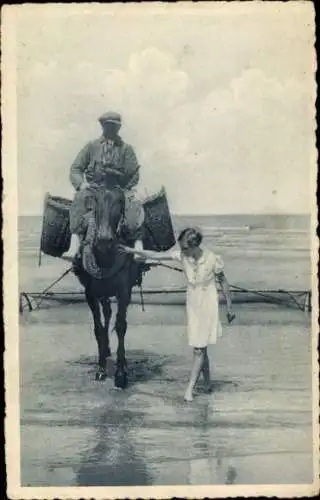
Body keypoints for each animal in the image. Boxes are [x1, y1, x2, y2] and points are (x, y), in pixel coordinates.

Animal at [73, 186, 144, 388]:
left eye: (119, 201)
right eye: (95, 202)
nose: (104, 239)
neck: (105, 256)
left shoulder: (124, 292)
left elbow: (121, 326)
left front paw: (121, 373)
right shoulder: (90, 295)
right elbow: (98, 329)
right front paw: (101, 368)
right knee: (106, 315)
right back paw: (105, 350)